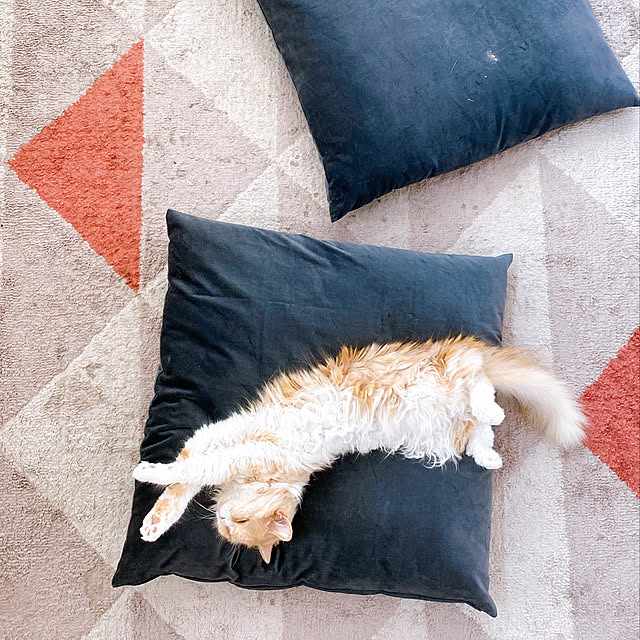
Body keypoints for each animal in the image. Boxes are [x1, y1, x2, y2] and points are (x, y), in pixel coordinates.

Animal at [133, 336, 586, 563]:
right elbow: (189, 469)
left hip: (442, 382)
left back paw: (490, 412)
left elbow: (195, 468)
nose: (224, 517)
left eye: (240, 523)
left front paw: (149, 473)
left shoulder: (253, 451)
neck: (271, 477)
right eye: (229, 528)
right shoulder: (224, 434)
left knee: (479, 381)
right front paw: (157, 517)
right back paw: (490, 450)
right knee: (478, 424)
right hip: (439, 429)